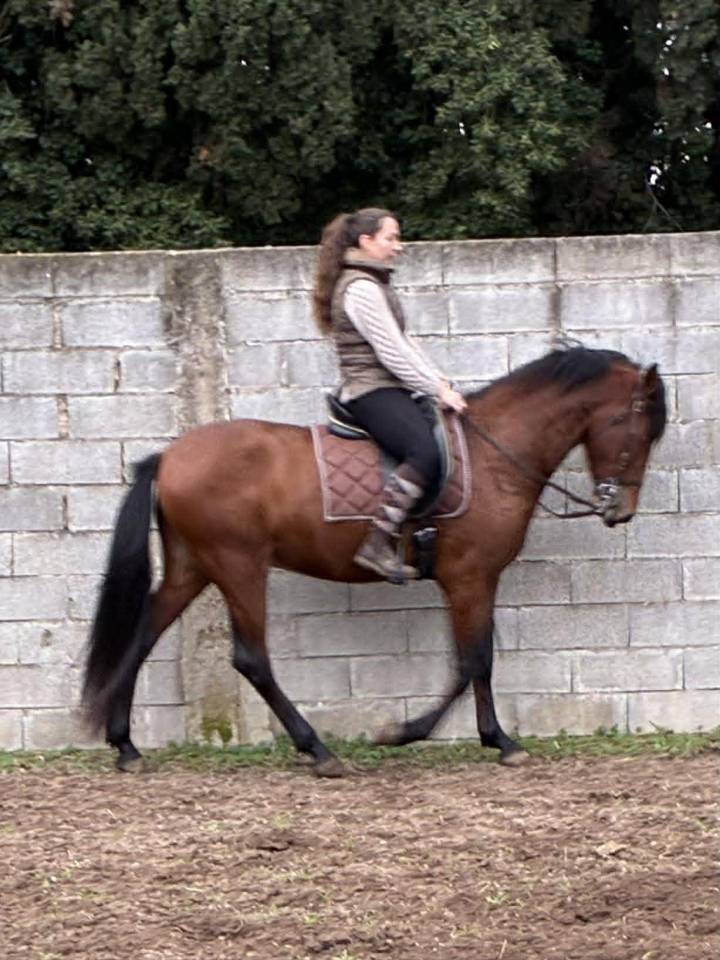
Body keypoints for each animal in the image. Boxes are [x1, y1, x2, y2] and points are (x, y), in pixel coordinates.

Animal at [81, 346, 667, 776]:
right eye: (638, 428)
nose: (620, 510)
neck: (492, 455)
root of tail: (169, 457)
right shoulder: (470, 576)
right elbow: (474, 660)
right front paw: (440, 735)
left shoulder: (470, 580)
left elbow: (473, 660)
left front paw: (482, 737)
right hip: (238, 565)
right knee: (252, 659)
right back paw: (318, 751)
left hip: (194, 566)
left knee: (143, 636)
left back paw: (126, 747)